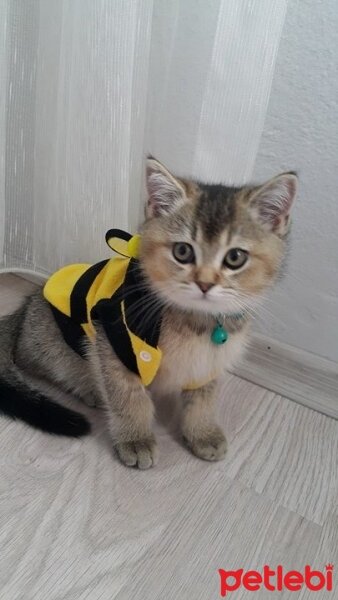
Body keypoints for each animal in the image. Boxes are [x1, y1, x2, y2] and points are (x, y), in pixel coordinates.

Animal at [0, 158, 298, 468]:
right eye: (182, 251)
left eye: (235, 257)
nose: (205, 283)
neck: (194, 321)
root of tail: (25, 308)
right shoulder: (115, 342)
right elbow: (130, 397)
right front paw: (136, 439)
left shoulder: (208, 361)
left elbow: (203, 399)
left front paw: (203, 433)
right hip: (55, 342)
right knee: (45, 364)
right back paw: (89, 388)